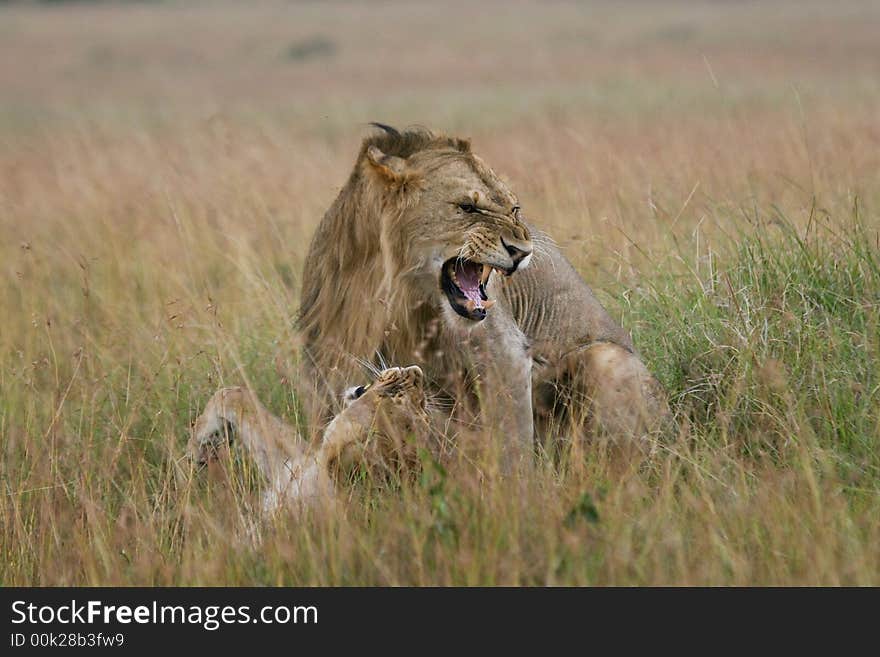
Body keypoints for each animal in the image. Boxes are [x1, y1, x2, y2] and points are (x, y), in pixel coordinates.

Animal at [300, 121, 664, 462]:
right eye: (467, 208)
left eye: (514, 209)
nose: (522, 251)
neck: (393, 288)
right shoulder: (327, 350)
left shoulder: (504, 351)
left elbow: (513, 445)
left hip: (606, 359)